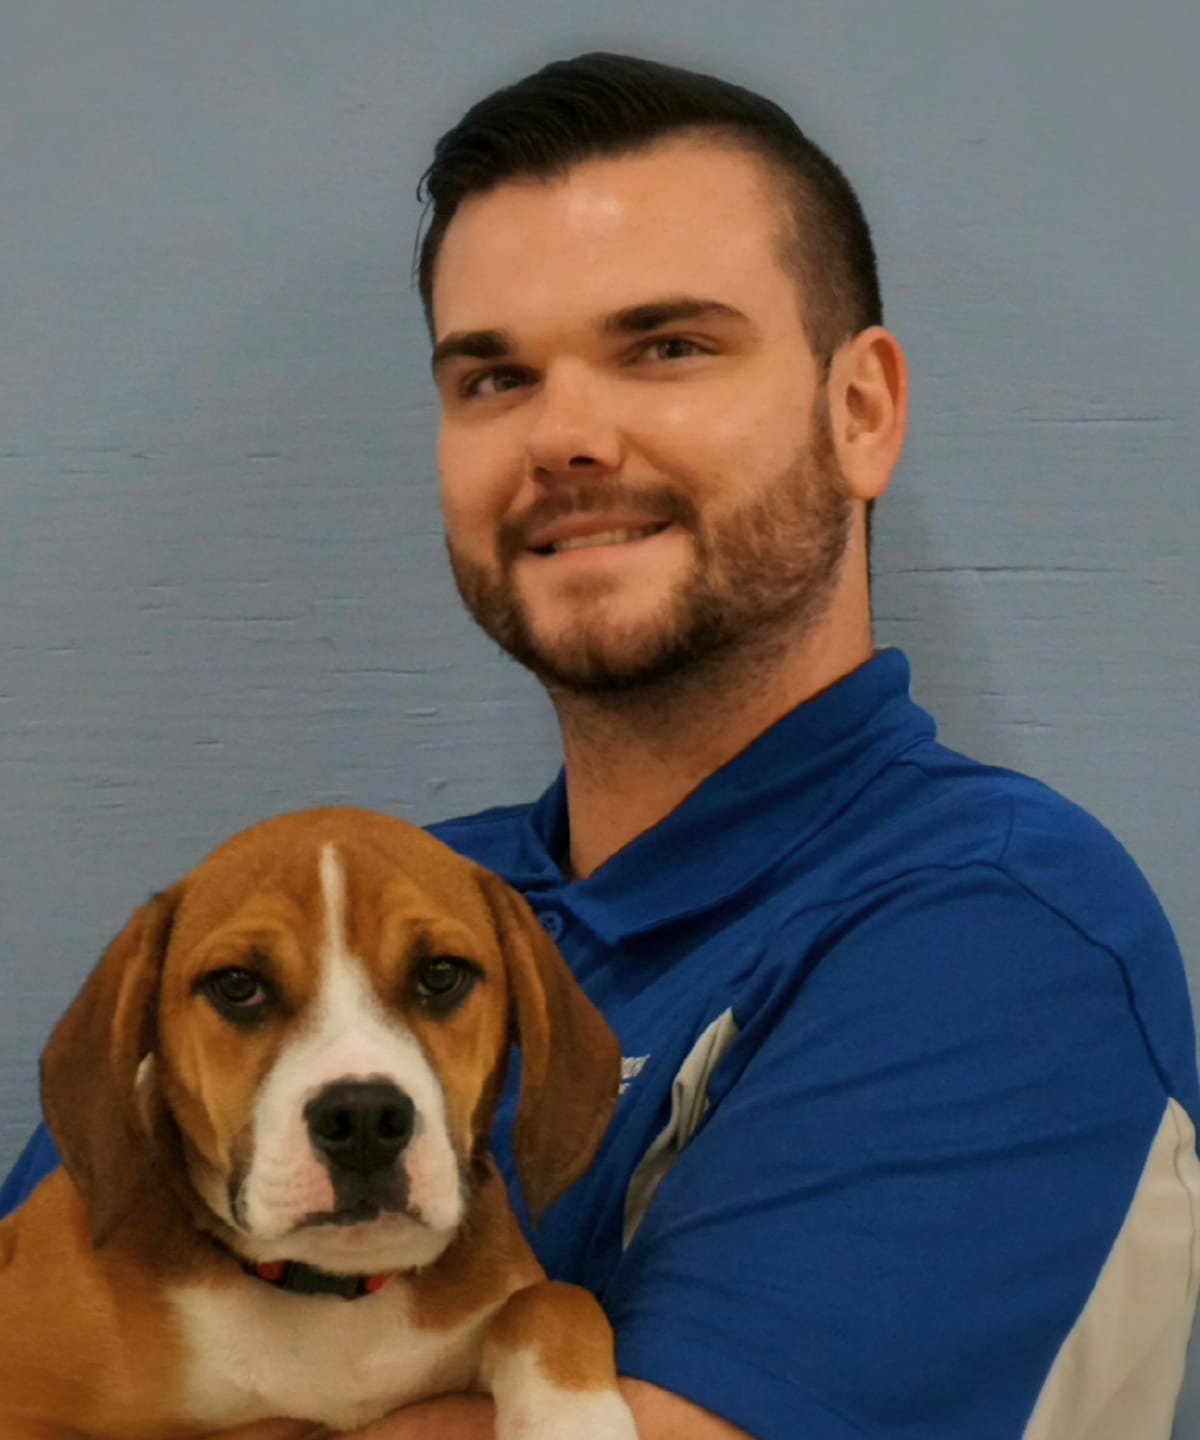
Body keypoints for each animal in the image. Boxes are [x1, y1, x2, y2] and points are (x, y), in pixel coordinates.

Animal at [0, 812, 636, 1440]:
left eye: (441, 973)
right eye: (237, 984)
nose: (363, 1119)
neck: (336, 1285)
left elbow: (553, 1298)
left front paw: (574, 1418)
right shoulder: (23, 1405)